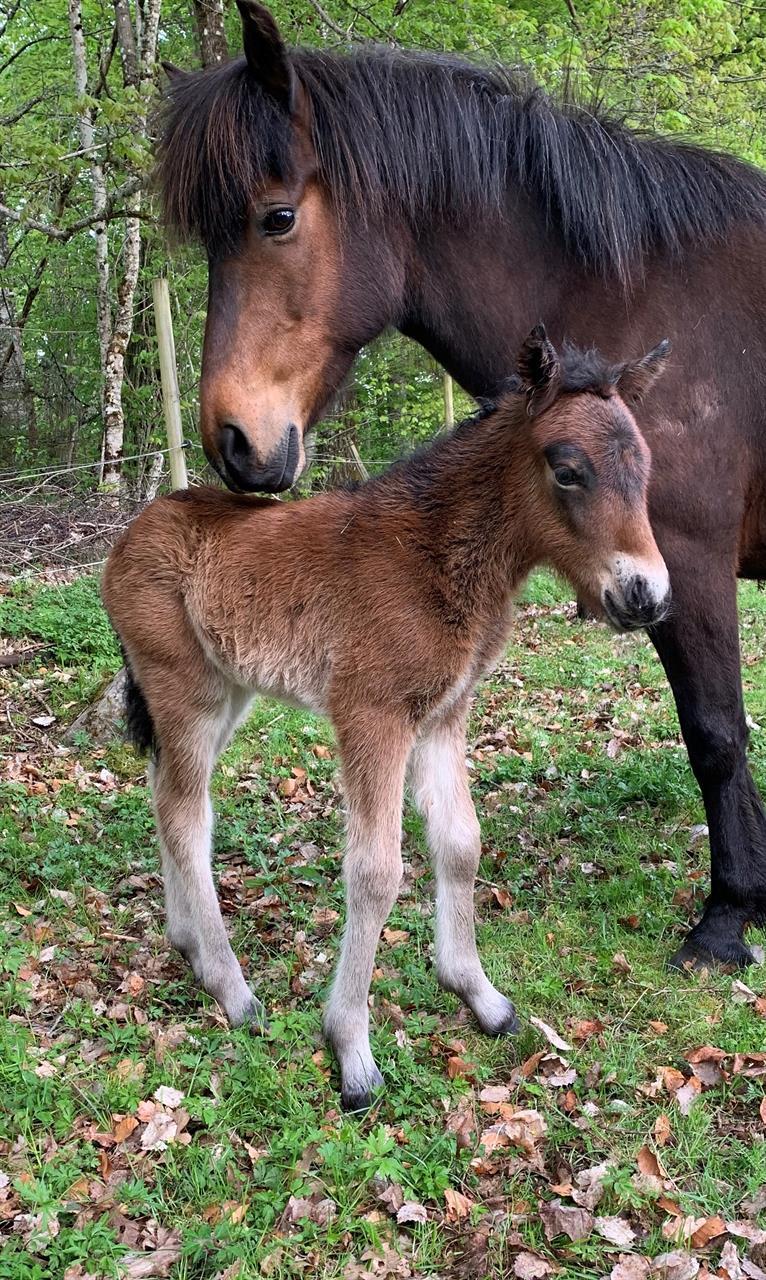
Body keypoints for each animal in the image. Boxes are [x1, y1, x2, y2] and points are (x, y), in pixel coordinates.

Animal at [103, 330, 671, 1111]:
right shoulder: (372, 715)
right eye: (568, 470)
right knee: (187, 817)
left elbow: (460, 843)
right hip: (183, 689)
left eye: (644, 468)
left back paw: (186, 943)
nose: (647, 596)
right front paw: (351, 1052)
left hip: (225, 694)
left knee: (166, 796)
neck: (433, 554)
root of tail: (127, 537)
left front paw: (478, 995)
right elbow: (375, 872)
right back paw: (232, 989)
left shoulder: (443, 713)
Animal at [157, 0, 766, 962]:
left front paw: (728, 914)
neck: (643, 291)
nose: (235, 442)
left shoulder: (686, 566)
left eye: (277, 218)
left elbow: (715, 733)